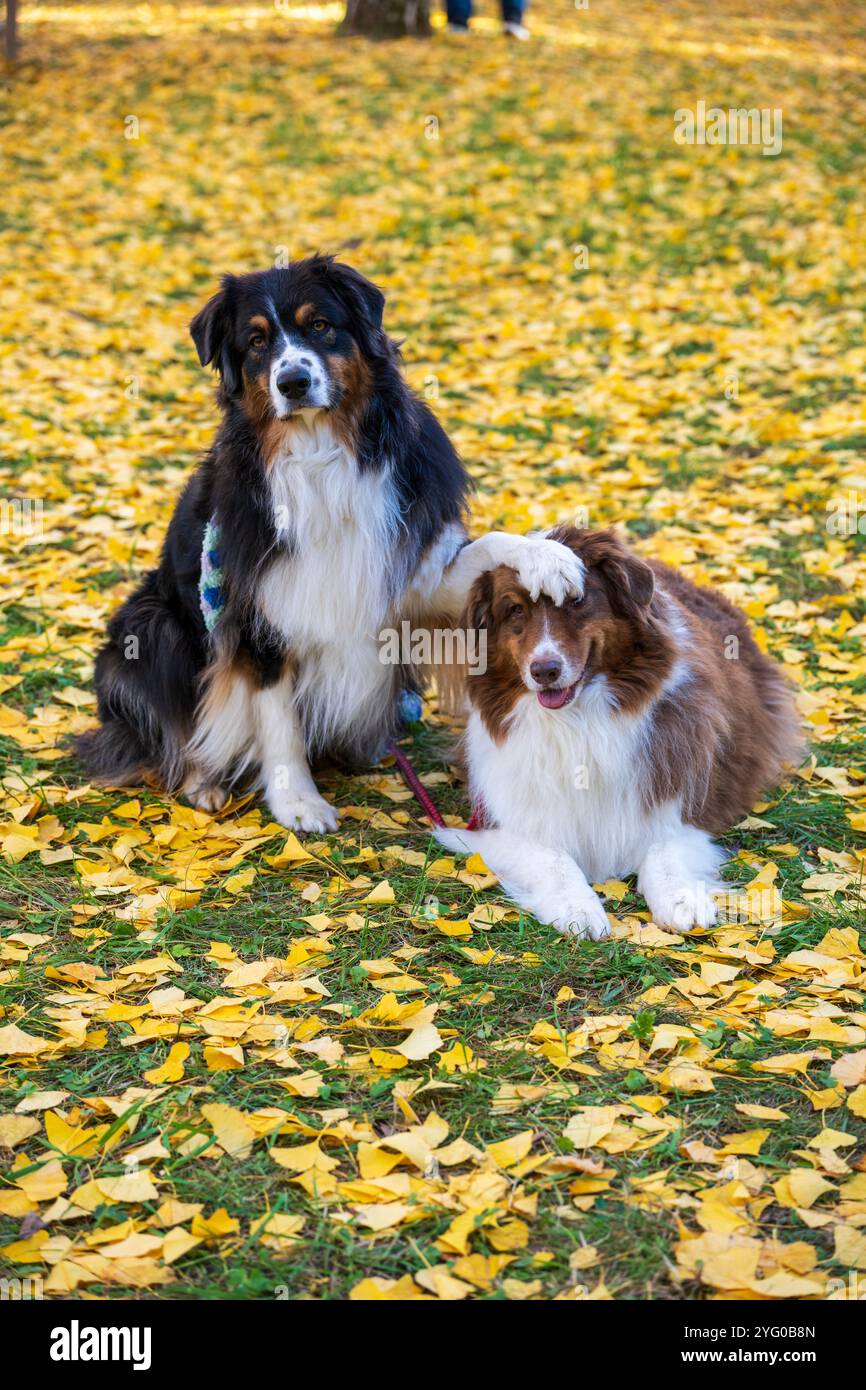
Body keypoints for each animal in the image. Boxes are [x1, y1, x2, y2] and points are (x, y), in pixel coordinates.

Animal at [77, 255, 586, 828]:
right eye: (256, 341)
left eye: (320, 325)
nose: (293, 381)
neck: (320, 450)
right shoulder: (257, 613)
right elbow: (276, 717)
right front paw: (297, 801)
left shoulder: (412, 571)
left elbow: (488, 547)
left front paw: (547, 556)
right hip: (148, 626)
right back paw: (201, 780)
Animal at [436, 525, 800, 939]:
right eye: (514, 610)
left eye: (577, 601)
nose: (544, 670)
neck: (578, 720)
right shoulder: (503, 823)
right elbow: (552, 856)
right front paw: (576, 906)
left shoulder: (679, 799)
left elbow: (662, 846)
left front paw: (681, 898)